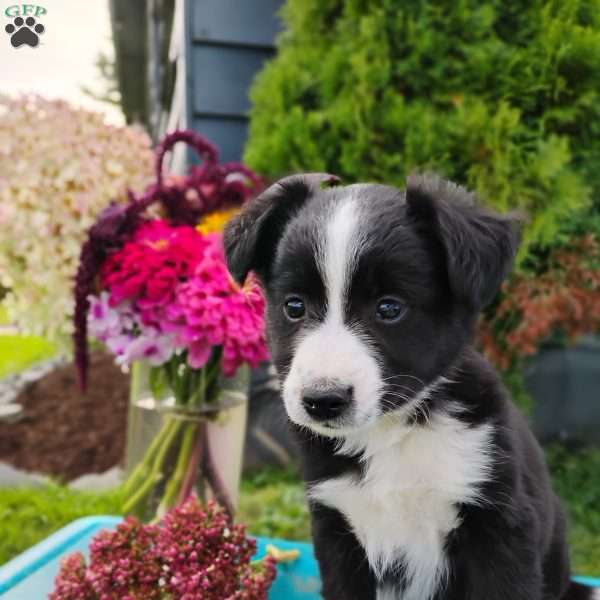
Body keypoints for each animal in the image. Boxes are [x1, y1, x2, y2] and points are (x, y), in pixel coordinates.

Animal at [224, 173, 596, 600]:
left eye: (390, 308)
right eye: (294, 306)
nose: (323, 400)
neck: (395, 433)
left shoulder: (500, 528)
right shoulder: (338, 531)